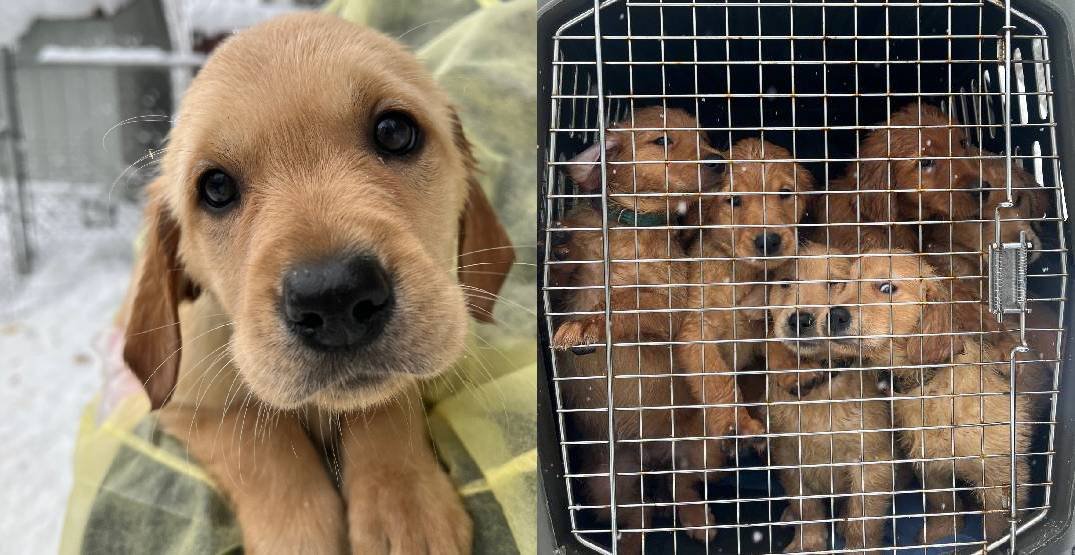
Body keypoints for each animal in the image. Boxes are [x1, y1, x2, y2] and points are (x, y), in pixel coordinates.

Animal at [122, 14, 516, 555]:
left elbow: (386, 402)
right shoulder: (188, 403)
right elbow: (259, 442)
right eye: (216, 188)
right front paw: (299, 533)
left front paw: (405, 506)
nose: (334, 298)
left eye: (394, 132)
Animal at [675, 138, 808, 451]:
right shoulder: (696, 330)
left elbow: (776, 334)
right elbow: (716, 377)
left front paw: (793, 369)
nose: (769, 240)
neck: (742, 274)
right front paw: (737, 426)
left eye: (785, 194)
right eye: (734, 200)